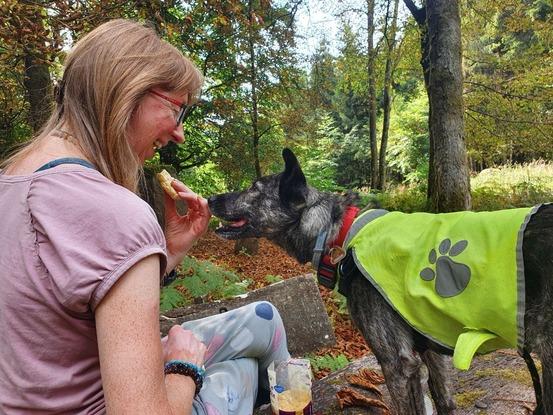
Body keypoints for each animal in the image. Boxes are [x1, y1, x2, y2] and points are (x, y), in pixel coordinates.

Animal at [208, 148, 552, 414]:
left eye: (254, 188)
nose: (210, 197)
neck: (340, 232)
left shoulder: (398, 365)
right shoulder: (430, 351)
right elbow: (444, 401)